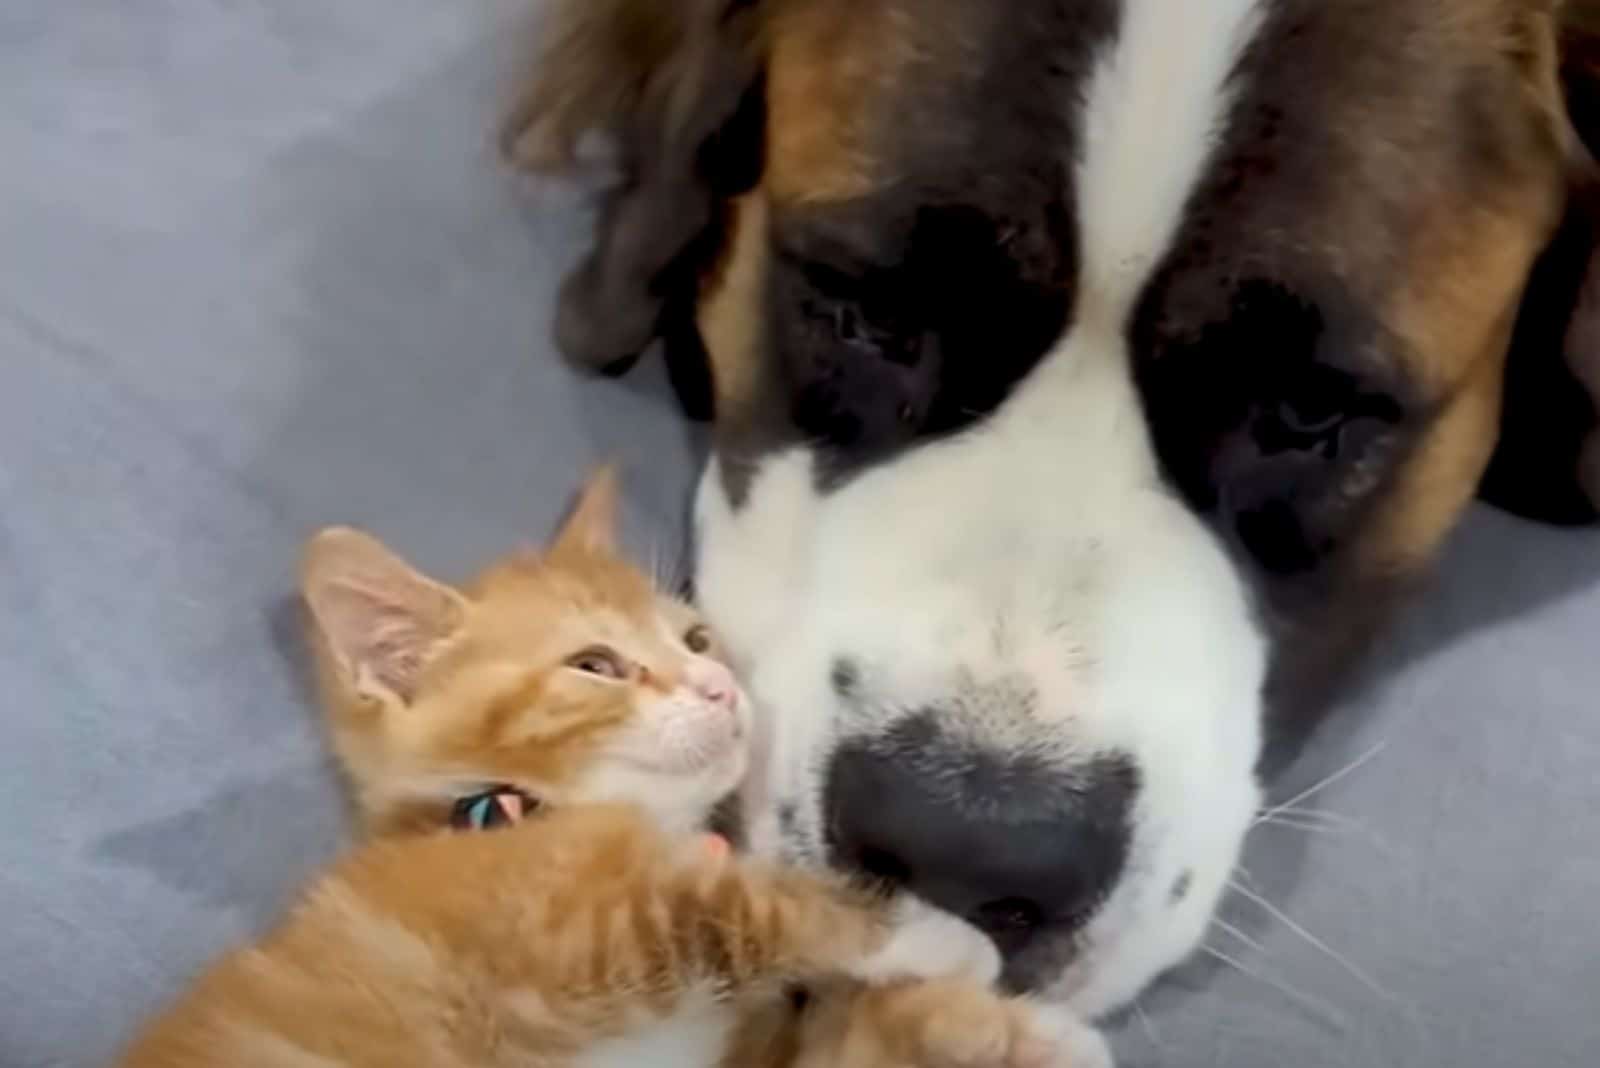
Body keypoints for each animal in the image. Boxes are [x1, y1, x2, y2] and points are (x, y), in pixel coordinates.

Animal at [118, 470, 1113, 1068]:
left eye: (697, 640)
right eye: (596, 664)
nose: (722, 686)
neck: (516, 812)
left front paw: (1001, 1031)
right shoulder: (556, 939)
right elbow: (732, 908)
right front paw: (950, 942)